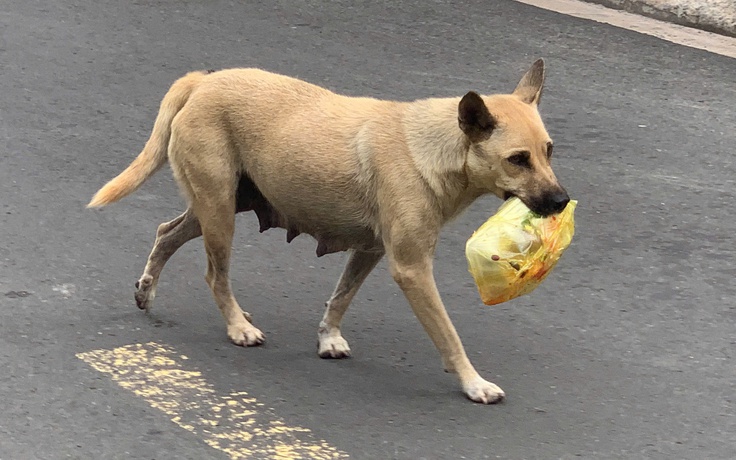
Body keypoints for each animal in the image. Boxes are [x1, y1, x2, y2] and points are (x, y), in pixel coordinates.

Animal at [87, 58, 568, 402]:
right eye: (518, 159)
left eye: (548, 151)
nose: (562, 201)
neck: (433, 148)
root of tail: (203, 81)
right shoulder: (412, 269)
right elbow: (448, 335)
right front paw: (472, 382)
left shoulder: (370, 251)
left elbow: (340, 297)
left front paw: (328, 337)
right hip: (219, 212)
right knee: (214, 274)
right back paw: (236, 325)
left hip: (222, 206)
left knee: (166, 232)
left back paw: (147, 290)